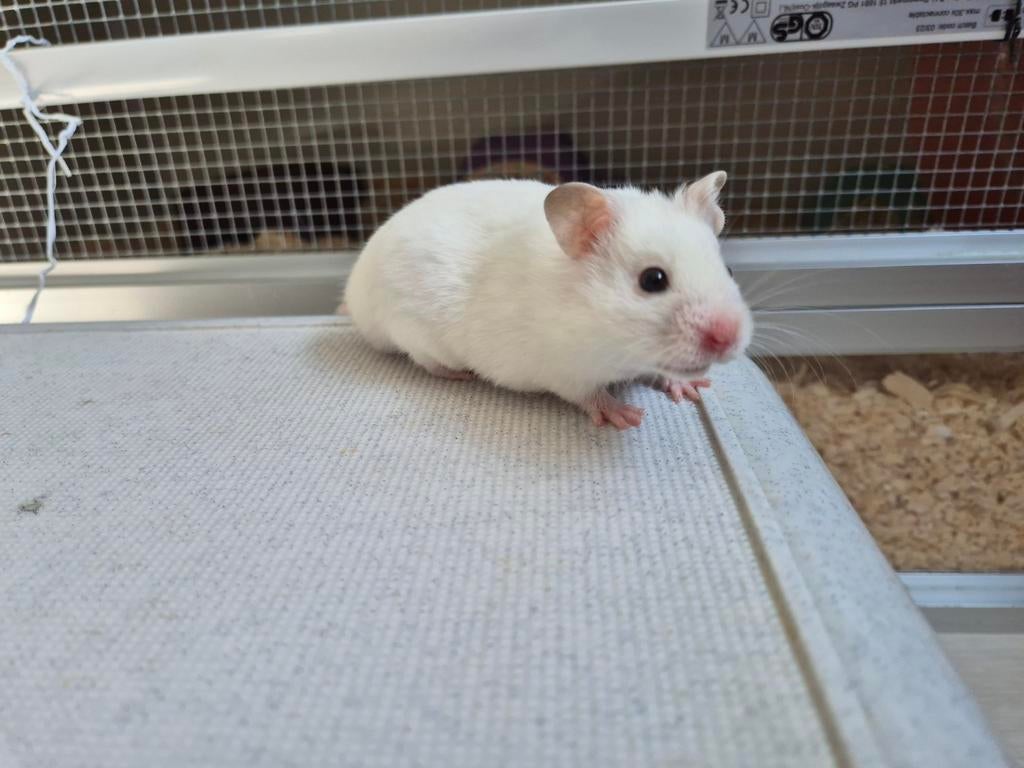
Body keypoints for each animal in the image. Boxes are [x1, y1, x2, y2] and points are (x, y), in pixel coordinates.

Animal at [342, 173, 752, 429]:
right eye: (653, 280)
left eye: (730, 270)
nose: (729, 338)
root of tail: (353, 287)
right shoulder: (564, 371)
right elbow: (591, 396)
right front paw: (626, 417)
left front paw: (693, 388)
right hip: (413, 333)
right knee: (427, 362)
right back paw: (460, 374)